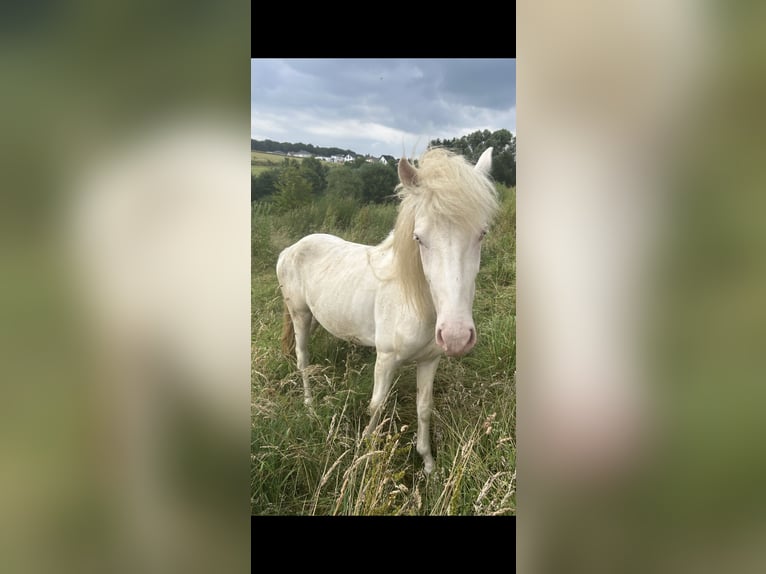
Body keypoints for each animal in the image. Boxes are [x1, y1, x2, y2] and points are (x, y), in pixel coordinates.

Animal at [280, 146, 500, 474]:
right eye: (419, 238)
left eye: (481, 234)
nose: (456, 337)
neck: (416, 302)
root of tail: (291, 249)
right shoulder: (385, 360)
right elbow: (377, 406)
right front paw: (363, 455)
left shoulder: (430, 361)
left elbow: (424, 408)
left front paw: (428, 463)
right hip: (300, 316)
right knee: (302, 358)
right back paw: (309, 405)